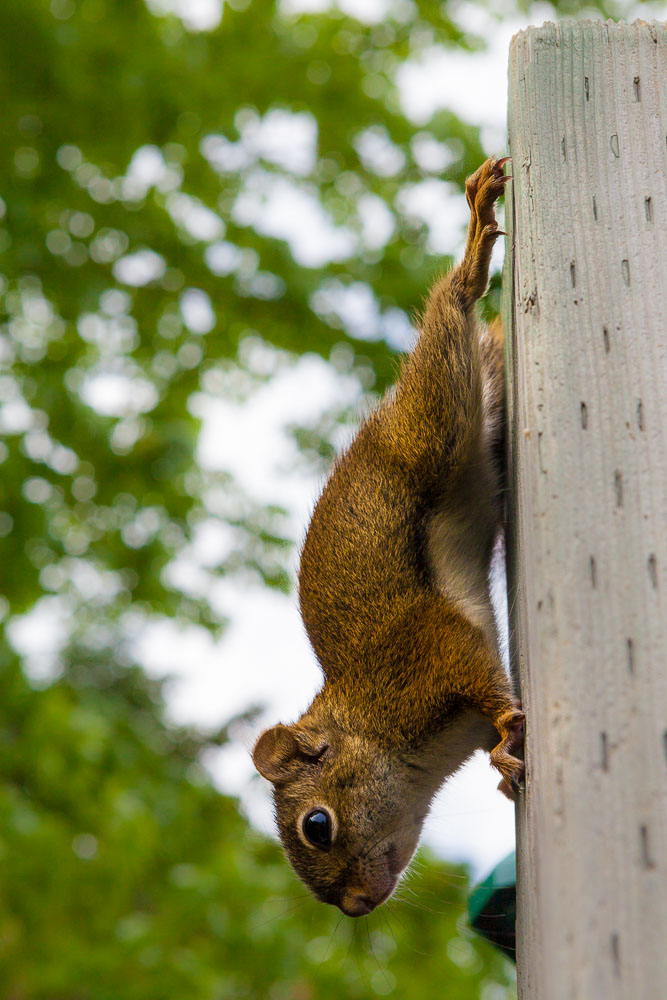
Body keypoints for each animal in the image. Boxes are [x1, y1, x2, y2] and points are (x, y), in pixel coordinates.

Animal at [253, 160, 524, 916]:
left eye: (316, 825)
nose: (352, 905)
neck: (366, 719)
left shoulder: (429, 657)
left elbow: (486, 680)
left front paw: (504, 737)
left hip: (435, 417)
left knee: (451, 309)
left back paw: (474, 245)